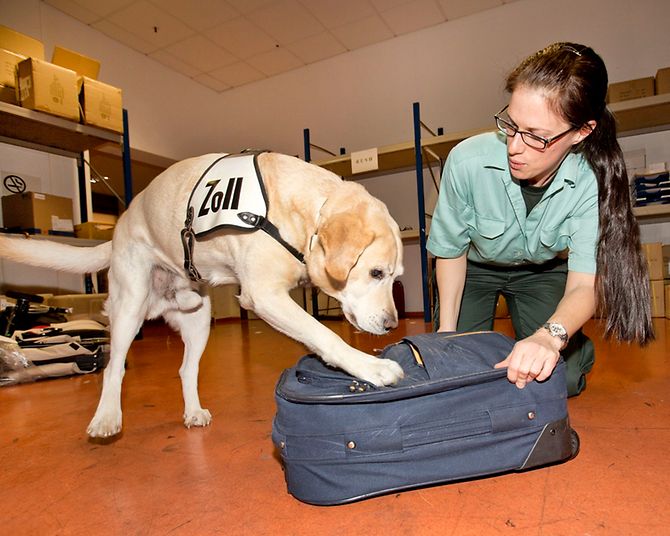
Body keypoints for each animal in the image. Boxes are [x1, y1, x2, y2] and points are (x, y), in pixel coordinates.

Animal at [0, 153, 406, 438]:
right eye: (376, 273)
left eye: (395, 277)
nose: (391, 324)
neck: (300, 210)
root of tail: (118, 228)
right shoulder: (264, 295)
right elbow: (325, 334)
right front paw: (371, 368)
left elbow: (316, 334)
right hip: (130, 306)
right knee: (115, 367)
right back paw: (107, 417)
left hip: (198, 320)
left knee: (186, 369)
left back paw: (193, 412)